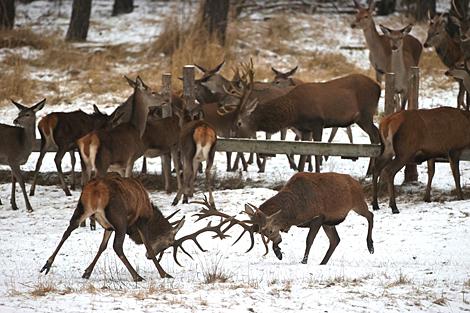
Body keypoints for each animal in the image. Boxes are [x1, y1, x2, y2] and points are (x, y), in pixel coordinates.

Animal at [41, 176, 229, 280]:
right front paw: (164, 274)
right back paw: (137, 276)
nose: (147, 258)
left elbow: (102, 247)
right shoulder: (140, 221)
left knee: (67, 231)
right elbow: (149, 246)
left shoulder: (108, 227)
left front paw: (87, 272)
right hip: (120, 218)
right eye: (169, 243)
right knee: (118, 246)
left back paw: (47, 265)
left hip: (82, 208)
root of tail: (97, 191)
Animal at [229, 70, 382, 176]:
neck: (295, 111)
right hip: (362, 118)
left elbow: (317, 152)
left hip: (366, 112)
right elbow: (303, 153)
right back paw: (371, 171)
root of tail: (379, 86)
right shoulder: (306, 128)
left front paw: (317, 173)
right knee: (376, 135)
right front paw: (300, 172)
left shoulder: (318, 123)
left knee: (374, 136)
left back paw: (370, 172)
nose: (233, 136)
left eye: (239, 122)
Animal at [242, 172, 374, 262]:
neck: (293, 214)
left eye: (269, 231)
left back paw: (371, 246)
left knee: (370, 215)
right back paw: (322, 262)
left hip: (358, 203)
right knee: (335, 240)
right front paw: (279, 254)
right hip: (329, 222)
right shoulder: (321, 220)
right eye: (262, 233)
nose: (279, 241)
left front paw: (304, 261)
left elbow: (309, 240)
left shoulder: (318, 218)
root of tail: (358, 183)